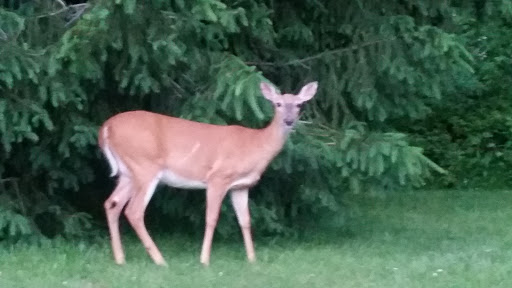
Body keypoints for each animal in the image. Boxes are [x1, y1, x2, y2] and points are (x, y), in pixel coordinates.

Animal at [98, 80, 318, 266]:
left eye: (299, 105)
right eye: (277, 104)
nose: (289, 121)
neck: (254, 145)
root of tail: (106, 127)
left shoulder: (241, 186)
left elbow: (245, 221)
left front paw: (252, 259)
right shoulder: (218, 178)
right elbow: (211, 218)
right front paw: (204, 260)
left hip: (128, 172)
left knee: (112, 204)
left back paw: (120, 259)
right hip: (145, 166)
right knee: (134, 211)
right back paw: (160, 261)